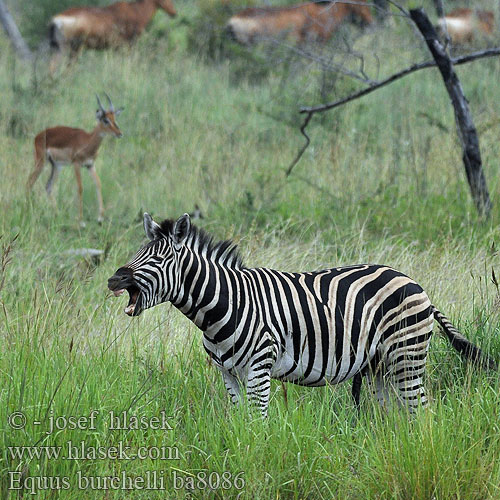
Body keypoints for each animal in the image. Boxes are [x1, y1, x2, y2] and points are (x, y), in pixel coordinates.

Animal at [106, 213, 496, 416]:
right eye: (138, 252)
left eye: (158, 258)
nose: (114, 279)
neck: (222, 305)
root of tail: (412, 280)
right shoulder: (227, 373)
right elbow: (240, 423)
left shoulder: (259, 368)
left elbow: (258, 422)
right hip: (380, 366)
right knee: (394, 417)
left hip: (407, 354)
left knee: (421, 413)